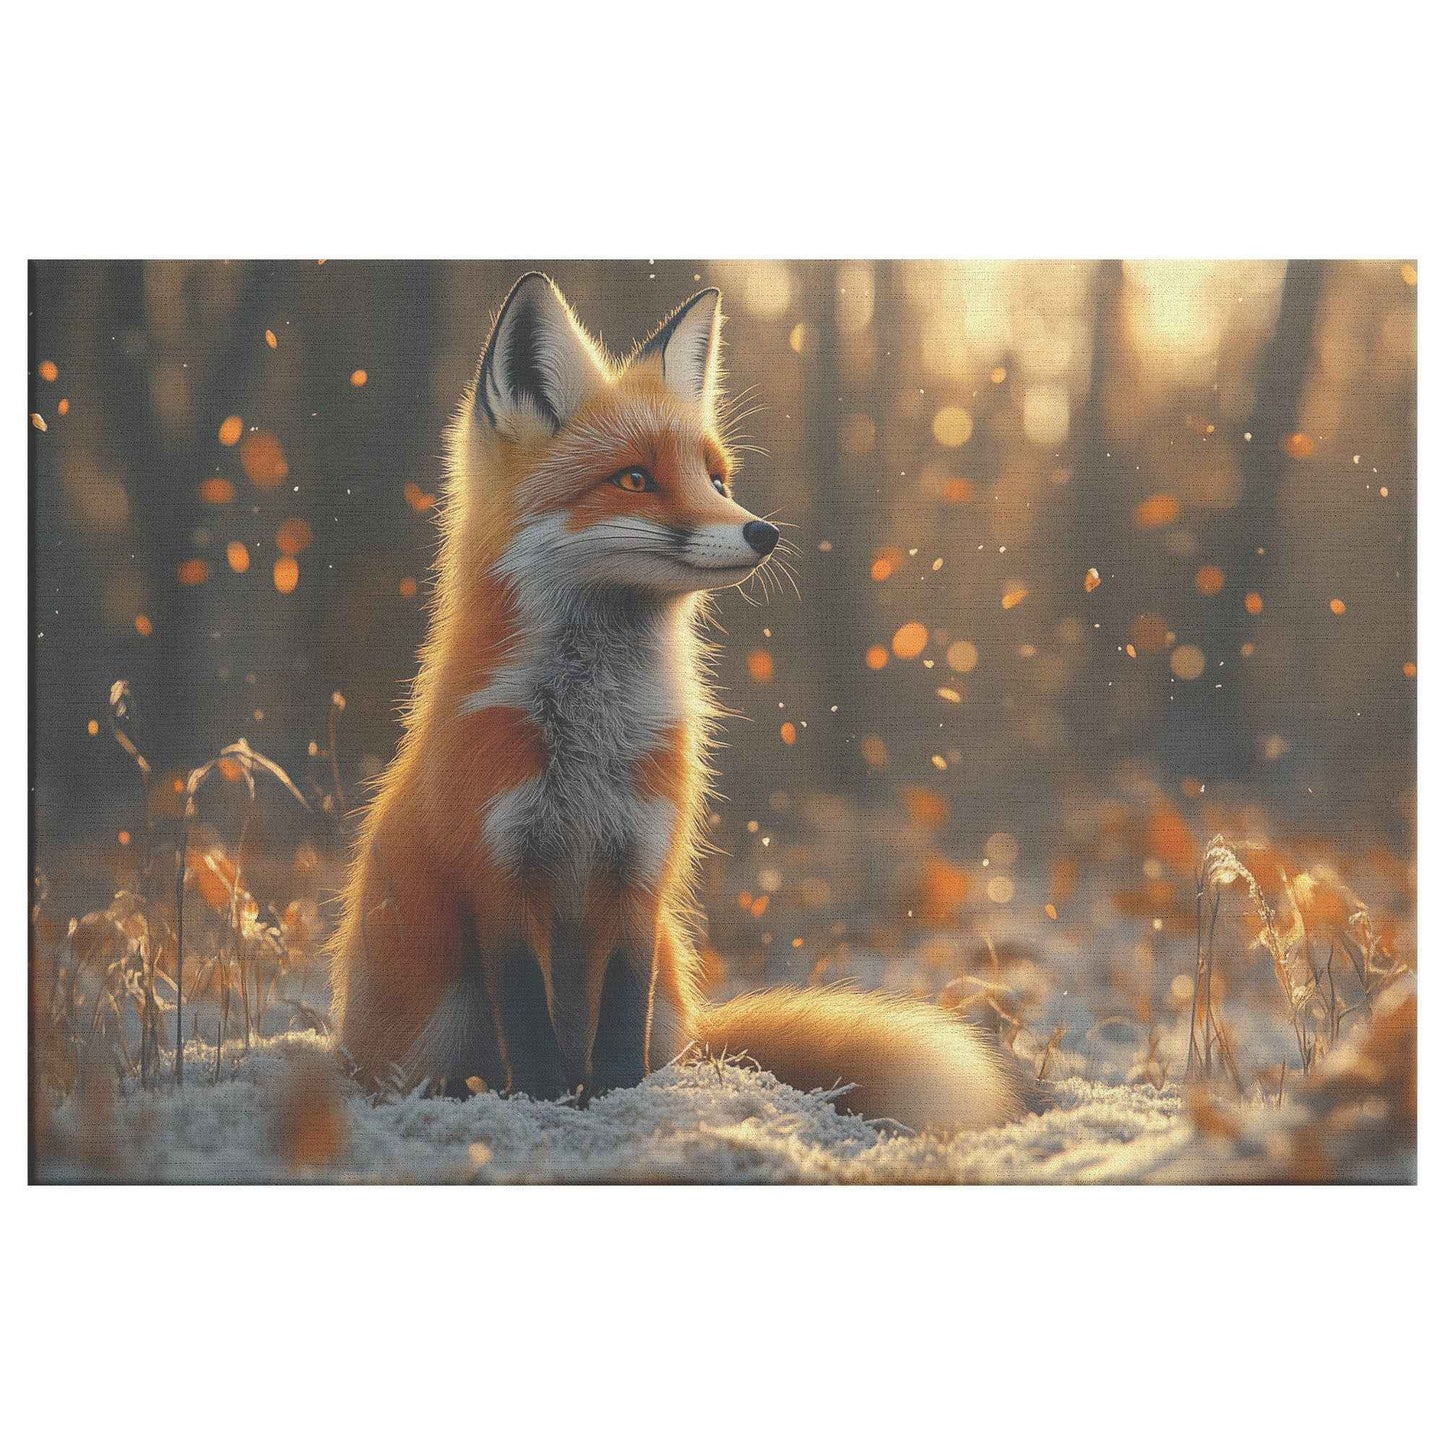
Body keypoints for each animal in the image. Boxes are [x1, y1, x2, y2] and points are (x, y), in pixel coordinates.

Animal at [330, 272, 1043, 1131]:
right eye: (634, 478)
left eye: (717, 480)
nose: (763, 532)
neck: (590, 738)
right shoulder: (499, 873)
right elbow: (530, 1029)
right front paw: (548, 1106)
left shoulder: (641, 868)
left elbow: (617, 1023)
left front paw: (616, 1100)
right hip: (438, 1020)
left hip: (666, 1006)